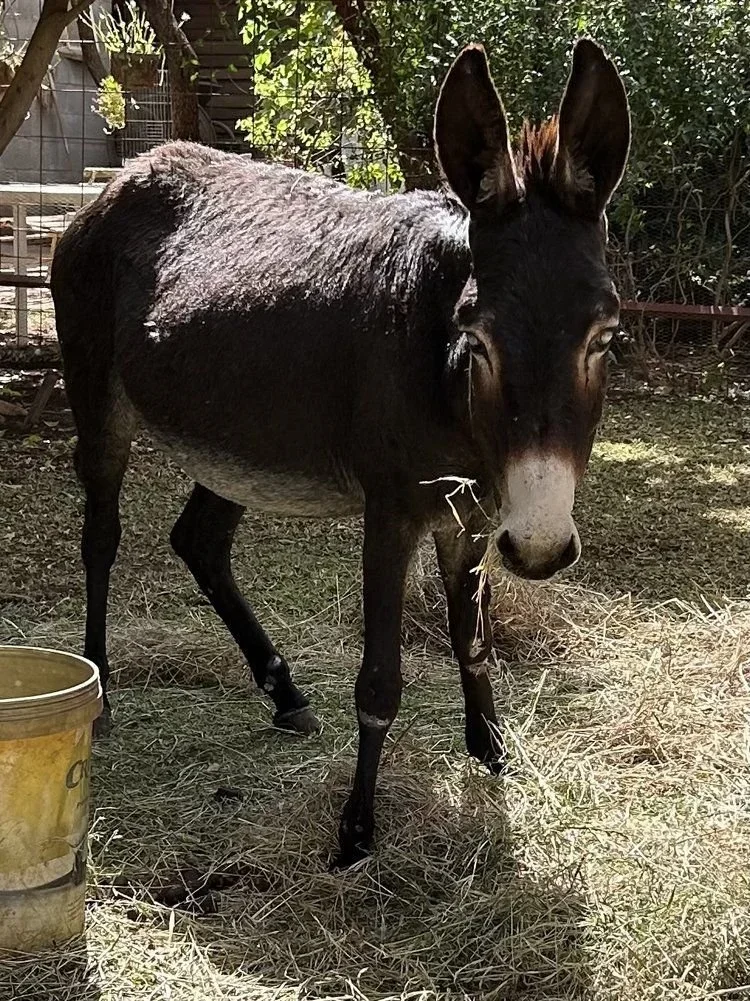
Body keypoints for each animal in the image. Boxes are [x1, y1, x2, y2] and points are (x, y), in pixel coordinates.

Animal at [51, 38, 629, 866]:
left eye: (605, 337)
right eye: (477, 338)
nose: (543, 547)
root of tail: (124, 176)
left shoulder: (475, 512)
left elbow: (473, 638)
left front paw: (490, 751)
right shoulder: (392, 510)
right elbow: (380, 681)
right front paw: (356, 830)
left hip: (237, 442)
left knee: (198, 540)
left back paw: (285, 692)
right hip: (98, 393)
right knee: (101, 536)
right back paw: (98, 694)